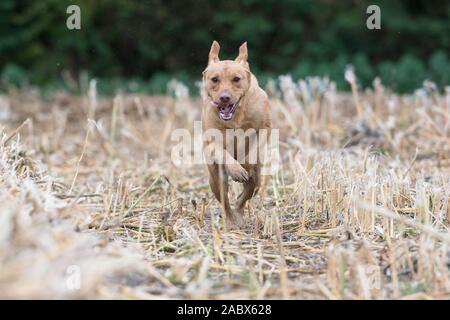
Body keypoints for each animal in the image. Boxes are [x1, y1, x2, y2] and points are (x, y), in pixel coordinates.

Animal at [201, 41, 270, 228]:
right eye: (214, 79)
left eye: (236, 79)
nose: (224, 97)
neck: (236, 115)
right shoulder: (210, 142)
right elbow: (222, 151)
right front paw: (236, 169)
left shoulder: (265, 128)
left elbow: (255, 148)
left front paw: (246, 163)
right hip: (215, 178)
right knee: (225, 201)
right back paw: (232, 221)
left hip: (257, 178)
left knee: (247, 193)